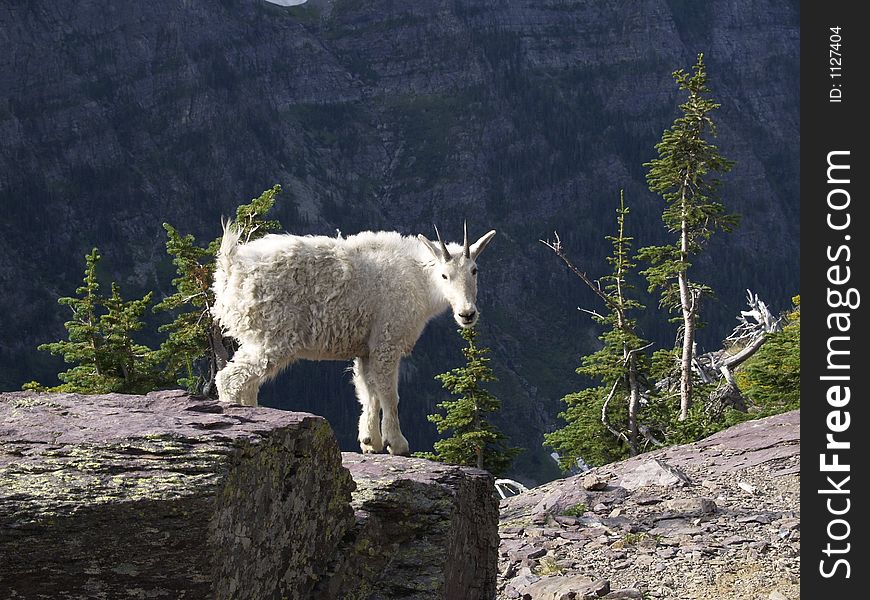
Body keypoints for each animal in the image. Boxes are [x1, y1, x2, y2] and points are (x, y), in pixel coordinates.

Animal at [212, 221, 498, 454]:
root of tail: (231, 267)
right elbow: (389, 394)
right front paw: (397, 443)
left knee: (248, 382)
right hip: (275, 335)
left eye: (474, 270)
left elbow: (368, 391)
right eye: (444, 275)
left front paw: (370, 442)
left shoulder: (366, 348)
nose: (467, 314)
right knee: (230, 377)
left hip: (257, 336)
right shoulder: (387, 339)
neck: (419, 280)